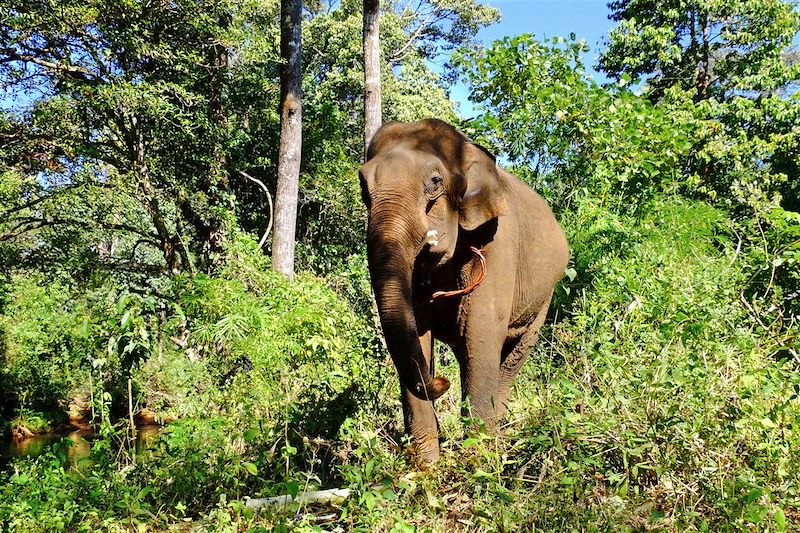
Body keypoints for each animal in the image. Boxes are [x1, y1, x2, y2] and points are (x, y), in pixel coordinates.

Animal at [360, 119, 572, 462]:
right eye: (363, 185)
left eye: (435, 182)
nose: (440, 381)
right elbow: (417, 336)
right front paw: (427, 468)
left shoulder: (499, 244)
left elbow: (481, 335)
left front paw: (476, 464)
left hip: (545, 297)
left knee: (508, 362)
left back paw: (498, 441)